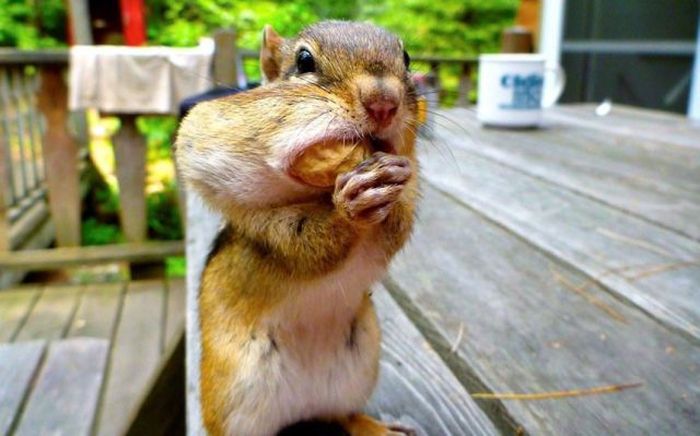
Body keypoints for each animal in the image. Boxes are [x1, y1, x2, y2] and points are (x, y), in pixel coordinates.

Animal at [176, 21, 420, 436]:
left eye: (406, 58)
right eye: (304, 61)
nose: (384, 102)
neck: (317, 192)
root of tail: (303, 408)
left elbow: (396, 225)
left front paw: (395, 182)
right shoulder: (234, 190)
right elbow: (300, 242)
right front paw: (347, 209)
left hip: (358, 368)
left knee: (343, 414)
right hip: (234, 397)